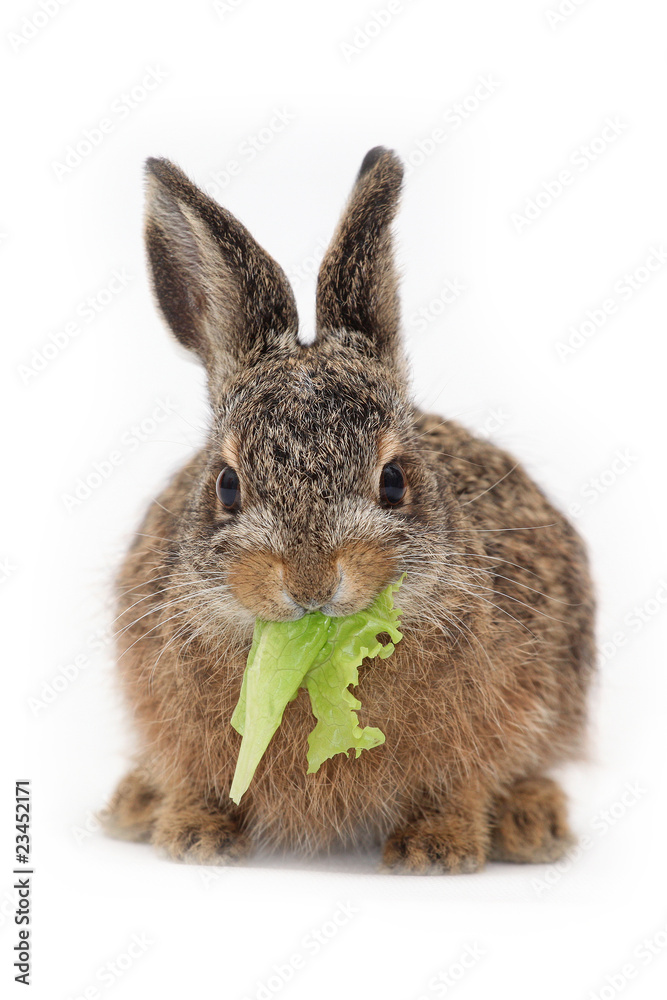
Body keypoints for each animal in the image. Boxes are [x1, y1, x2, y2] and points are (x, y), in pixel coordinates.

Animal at [104, 147, 595, 874]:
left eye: (393, 481)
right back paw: (135, 806)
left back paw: (532, 823)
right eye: (227, 485)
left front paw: (435, 851)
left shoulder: (493, 722)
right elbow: (195, 778)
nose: (310, 582)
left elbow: (460, 784)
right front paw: (193, 837)